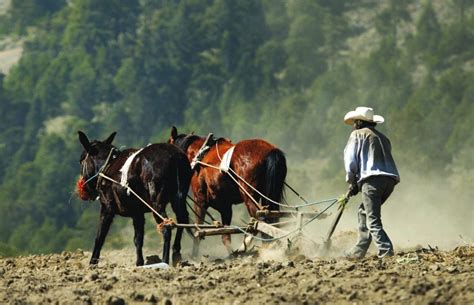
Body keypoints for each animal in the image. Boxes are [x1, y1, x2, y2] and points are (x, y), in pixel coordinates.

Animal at [77, 129, 192, 264]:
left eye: (81, 160)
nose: (83, 187)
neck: (106, 166)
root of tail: (175, 156)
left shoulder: (107, 209)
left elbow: (100, 237)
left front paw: (92, 262)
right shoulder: (137, 213)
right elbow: (138, 239)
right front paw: (139, 263)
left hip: (156, 204)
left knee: (166, 227)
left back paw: (164, 261)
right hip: (178, 200)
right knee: (182, 220)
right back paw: (176, 252)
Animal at [168, 124, 286, 255]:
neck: (199, 155)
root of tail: (271, 151)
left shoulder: (200, 200)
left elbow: (198, 230)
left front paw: (194, 255)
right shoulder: (225, 207)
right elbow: (225, 236)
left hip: (248, 195)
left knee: (259, 219)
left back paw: (246, 245)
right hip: (267, 196)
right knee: (271, 218)